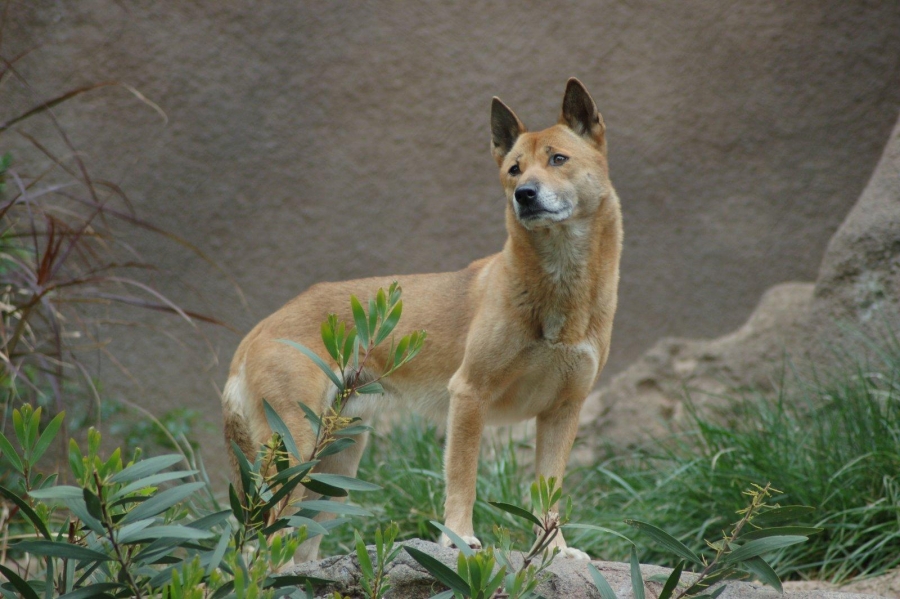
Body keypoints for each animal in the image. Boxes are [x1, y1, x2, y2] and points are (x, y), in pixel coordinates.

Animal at [221, 78, 624, 564]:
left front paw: (555, 551)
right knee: (262, 540)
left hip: (336, 462)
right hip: (295, 450)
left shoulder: (564, 410)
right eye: (514, 169)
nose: (524, 194)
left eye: (558, 159)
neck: (561, 287)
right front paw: (458, 538)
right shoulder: (469, 393)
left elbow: (549, 494)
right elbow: (463, 479)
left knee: (299, 541)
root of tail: (257, 331)